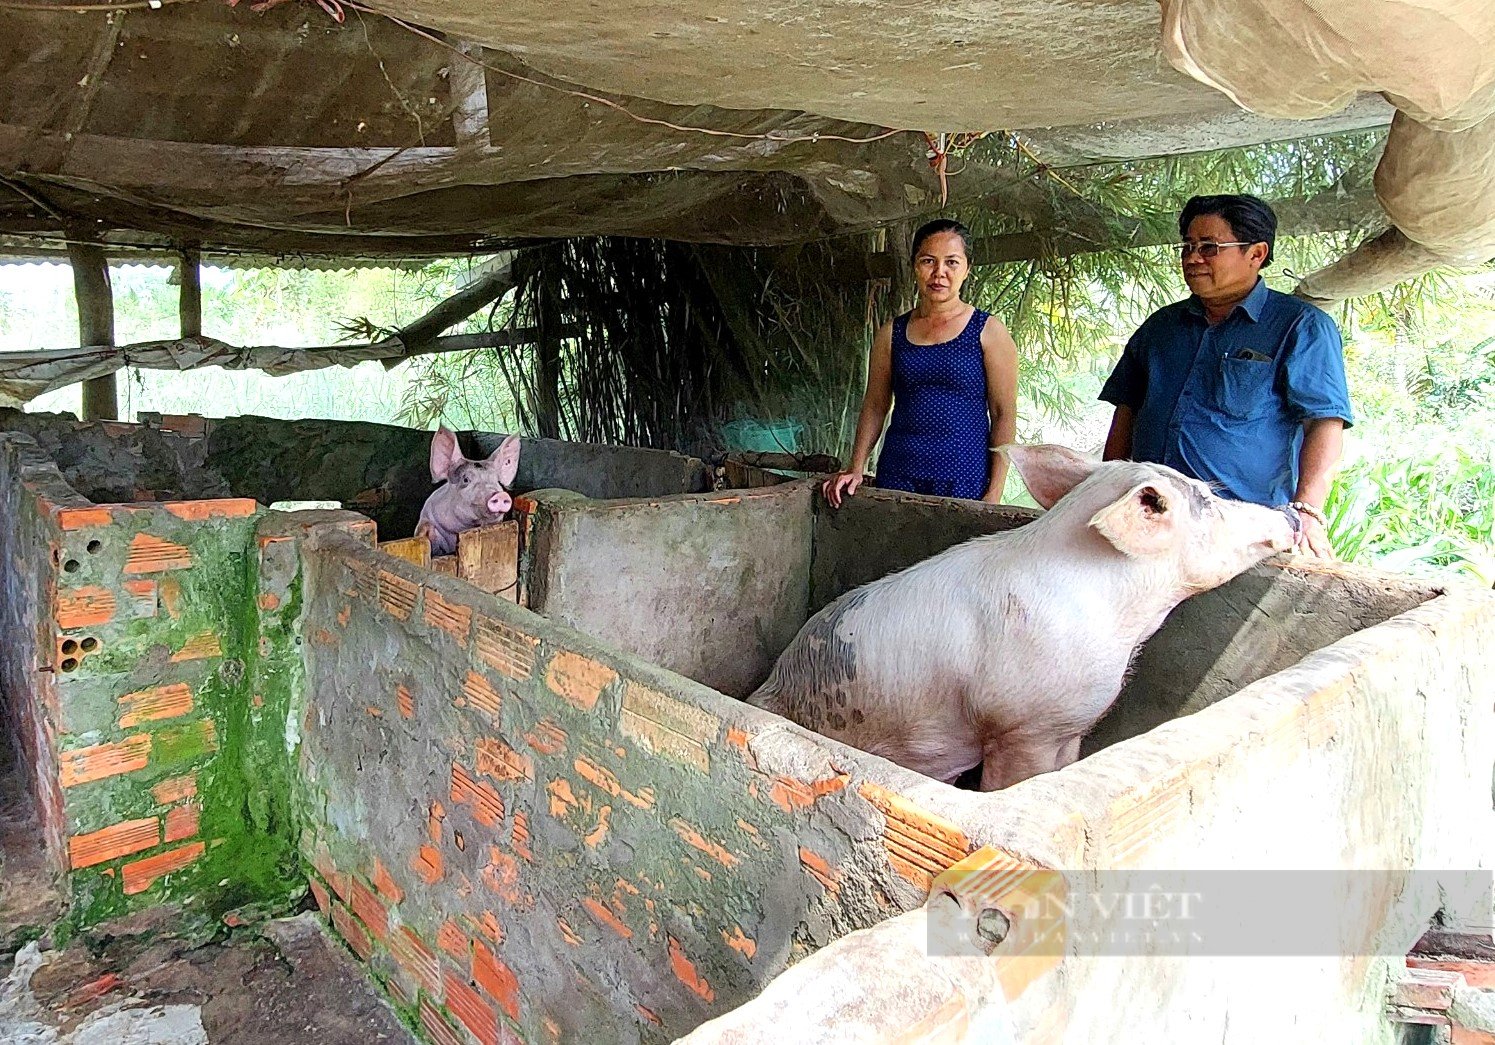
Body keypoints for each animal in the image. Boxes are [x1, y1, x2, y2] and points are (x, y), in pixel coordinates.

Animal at [747, 442, 1297, 795]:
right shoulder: (1022, 728)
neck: (1128, 622)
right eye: (1206, 499)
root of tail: (766, 686)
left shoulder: (1071, 725)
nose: (1292, 513)